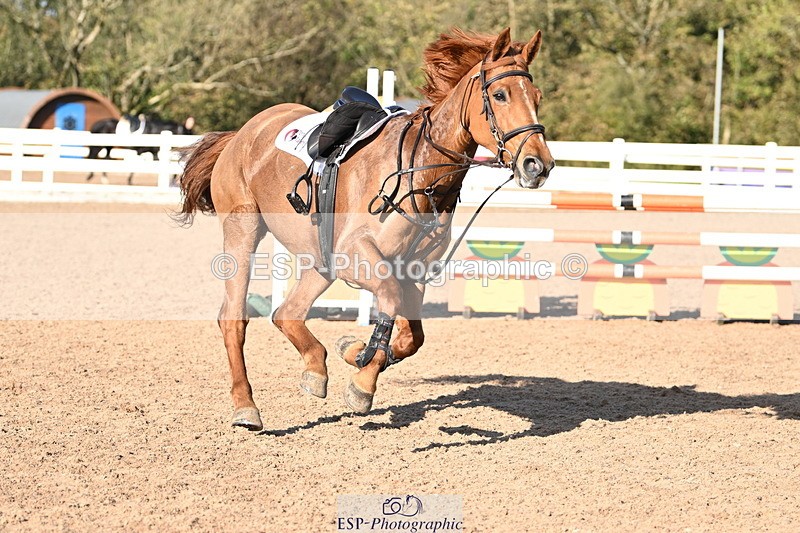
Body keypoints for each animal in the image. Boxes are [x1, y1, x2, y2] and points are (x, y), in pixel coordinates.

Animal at [177, 27, 555, 431]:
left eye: (537, 97)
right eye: (500, 95)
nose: (538, 165)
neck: (419, 175)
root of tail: (241, 133)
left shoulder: (412, 269)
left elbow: (411, 337)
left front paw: (355, 351)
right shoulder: (358, 258)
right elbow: (389, 302)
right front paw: (362, 383)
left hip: (321, 258)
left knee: (287, 313)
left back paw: (316, 368)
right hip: (244, 229)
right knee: (234, 318)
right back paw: (246, 406)